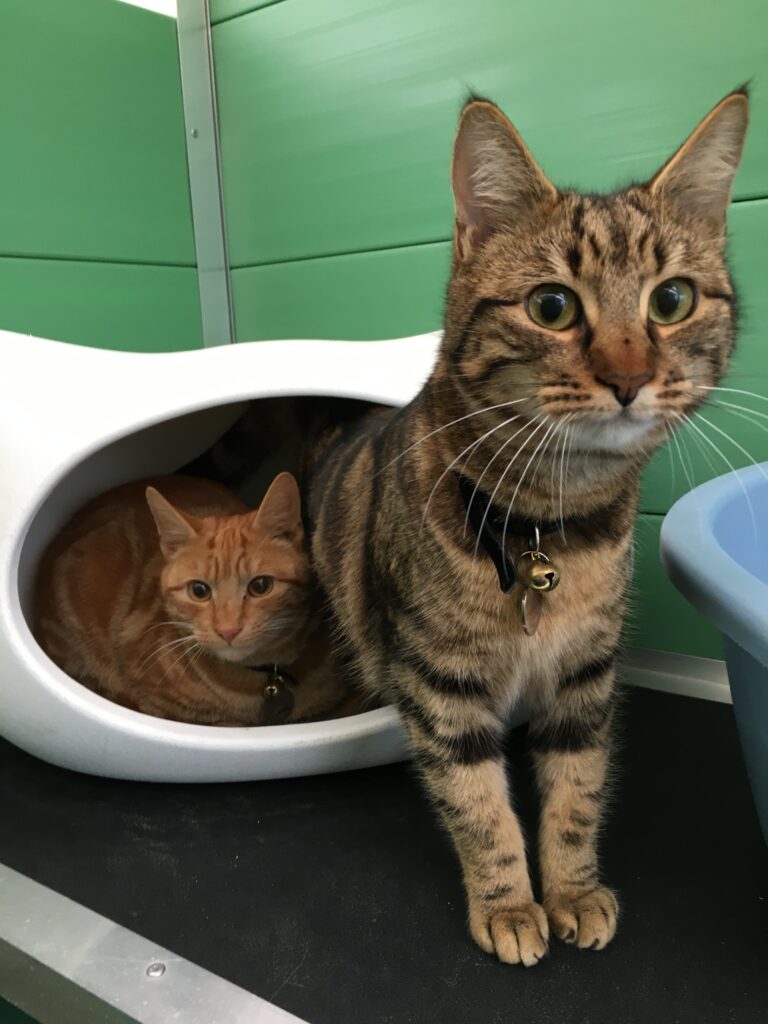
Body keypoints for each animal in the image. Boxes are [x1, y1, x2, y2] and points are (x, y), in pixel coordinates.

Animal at [305, 90, 748, 964]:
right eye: (553, 306)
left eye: (672, 299)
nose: (629, 378)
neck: (550, 526)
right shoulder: (441, 687)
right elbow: (478, 805)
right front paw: (510, 905)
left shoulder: (585, 678)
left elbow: (576, 793)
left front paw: (571, 890)